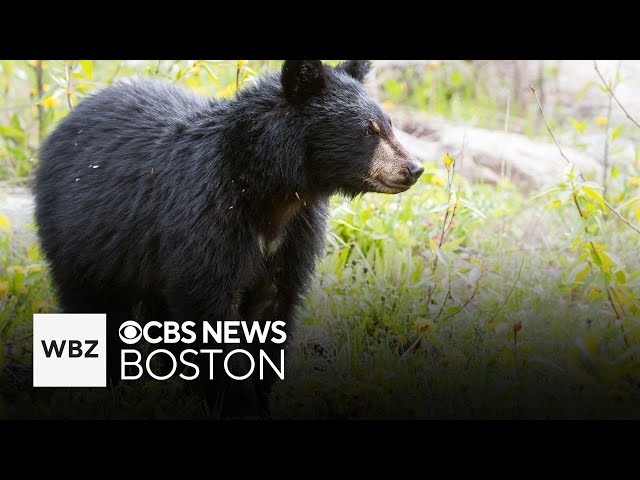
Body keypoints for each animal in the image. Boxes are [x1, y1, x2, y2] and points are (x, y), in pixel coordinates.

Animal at [35, 60, 424, 418]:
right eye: (368, 130)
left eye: (389, 124)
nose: (414, 169)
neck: (273, 191)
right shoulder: (206, 215)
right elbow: (207, 303)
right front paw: (239, 406)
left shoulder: (294, 235)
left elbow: (272, 308)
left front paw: (261, 399)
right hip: (81, 238)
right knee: (94, 307)